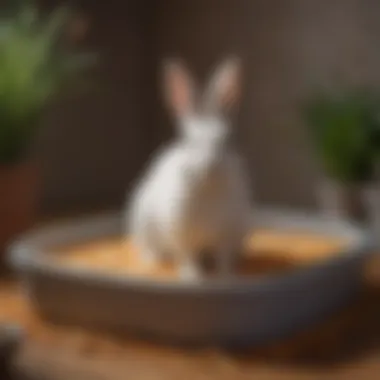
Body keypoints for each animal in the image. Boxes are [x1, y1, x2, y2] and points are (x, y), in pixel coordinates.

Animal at [126, 58, 254, 280]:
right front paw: (193, 277)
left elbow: (224, 258)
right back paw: (152, 261)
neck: (209, 190)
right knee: (150, 249)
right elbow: (188, 256)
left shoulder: (228, 235)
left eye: (228, 140)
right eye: (188, 141)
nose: (212, 166)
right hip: (144, 226)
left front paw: (226, 276)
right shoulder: (181, 234)